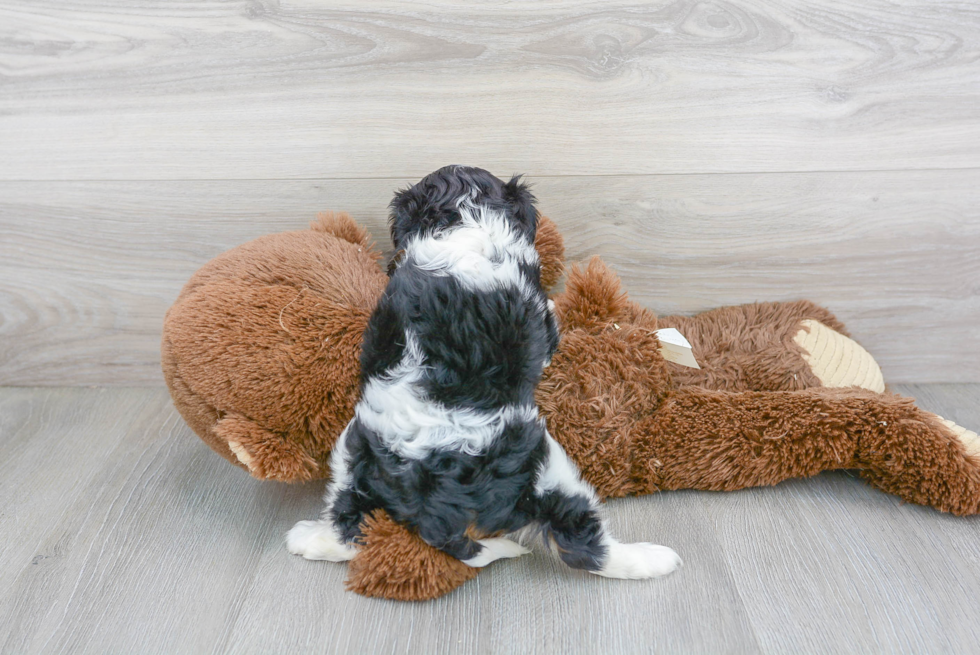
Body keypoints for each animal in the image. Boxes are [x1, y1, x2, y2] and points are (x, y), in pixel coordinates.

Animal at [288, 165, 676, 580]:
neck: (464, 220)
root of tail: (434, 502)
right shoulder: (540, 318)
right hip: (547, 469)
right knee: (583, 544)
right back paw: (654, 558)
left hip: (354, 449)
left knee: (350, 527)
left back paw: (307, 538)